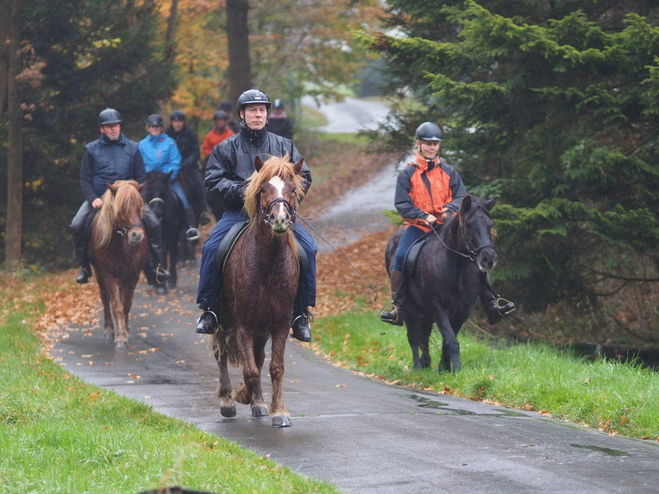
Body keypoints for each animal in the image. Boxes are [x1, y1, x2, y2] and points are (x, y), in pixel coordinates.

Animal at [89, 180, 151, 348]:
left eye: (140, 205)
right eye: (122, 207)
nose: (137, 235)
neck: (121, 245)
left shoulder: (133, 274)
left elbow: (126, 304)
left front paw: (126, 331)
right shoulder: (108, 273)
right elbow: (116, 305)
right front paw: (121, 337)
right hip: (99, 273)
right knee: (105, 298)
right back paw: (109, 329)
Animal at [210, 155, 306, 428]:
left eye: (292, 189)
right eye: (263, 189)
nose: (279, 219)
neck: (269, 263)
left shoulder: (280, 323)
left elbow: (274, 367)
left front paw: (278, 411)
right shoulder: (244, 324)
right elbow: (250, 371)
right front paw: (242, 395)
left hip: (262, 329)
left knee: (259, 356)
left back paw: (258, 403)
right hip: (223, 320)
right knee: (221, 352)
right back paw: (228, 400)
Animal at [384, 195, 498, 372]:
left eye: (490, 224)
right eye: (469, 224)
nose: (488, 259)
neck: (456, 267)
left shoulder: (463, 310)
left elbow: (447, 339)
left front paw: (444, 368)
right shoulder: (438, 307)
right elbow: (451, 340)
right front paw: (457, 369)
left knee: (424, 333)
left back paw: (426, 361)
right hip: (410, 306)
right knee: (413, 335)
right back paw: (418, 366)